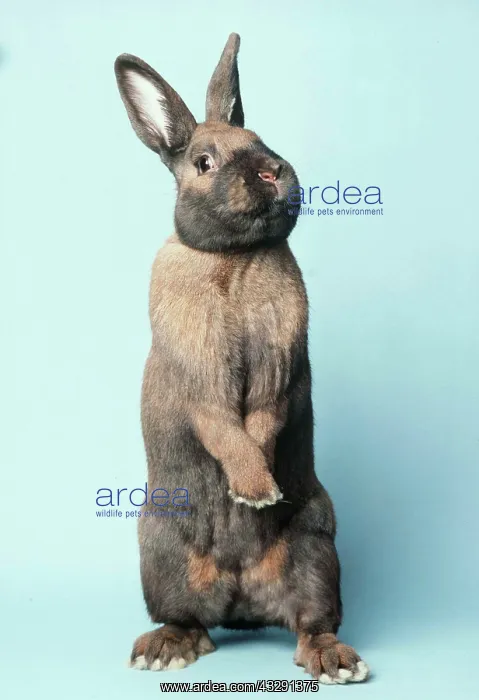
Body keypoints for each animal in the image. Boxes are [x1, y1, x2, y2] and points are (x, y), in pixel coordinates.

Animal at [114, 33, 369, 684]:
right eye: (203, 163)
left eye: (260, 140)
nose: (272, 170)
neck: (233, 256)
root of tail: (241, 601)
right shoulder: (201, 379)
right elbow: (224, 427)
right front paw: (255, 489)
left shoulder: (281, 369)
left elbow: (263, 416)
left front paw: (259, 491)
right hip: (161, 557)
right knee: (188, 619)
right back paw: (164, 649)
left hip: (317, 551)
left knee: (312, 623)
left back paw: (335, 662)